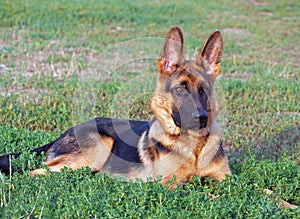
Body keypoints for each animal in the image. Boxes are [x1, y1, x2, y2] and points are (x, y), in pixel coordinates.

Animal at [0, 25, 232, 186]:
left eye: (203, 90)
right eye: (180, 89)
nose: (200, 117)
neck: (194, 148)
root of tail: (65, 132)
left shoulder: (226, 180)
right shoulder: (169, 183)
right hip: (98, 148)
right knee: (36, 171)